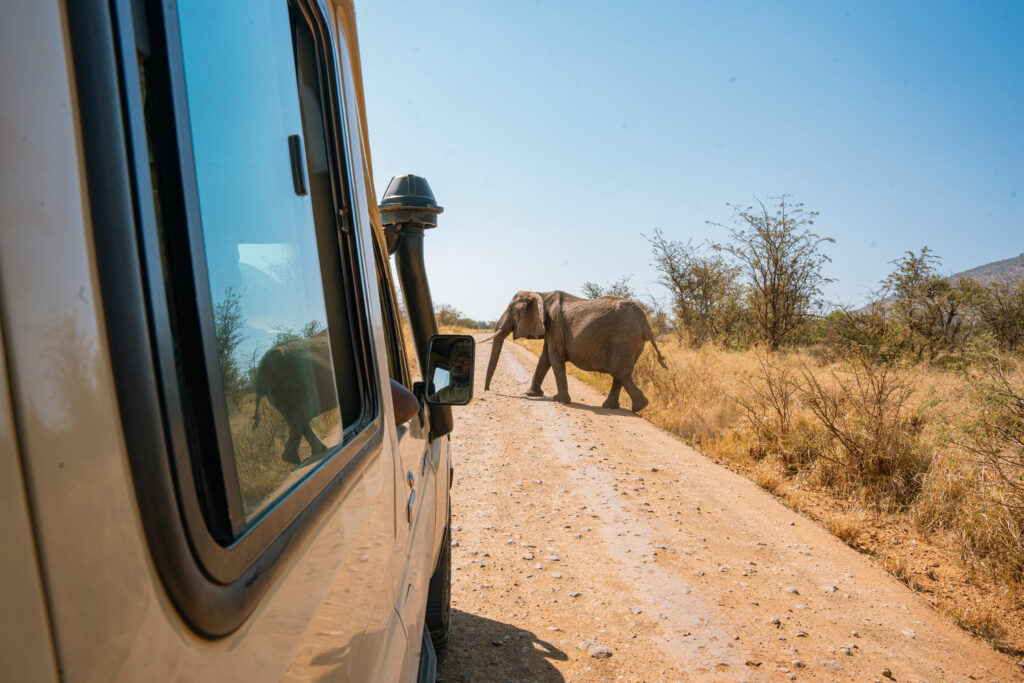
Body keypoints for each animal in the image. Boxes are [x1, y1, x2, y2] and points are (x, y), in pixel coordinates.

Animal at [483, 290, 667, 412]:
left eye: (511, 310)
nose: (487, 391)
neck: (541, 294)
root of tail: (645, 322)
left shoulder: (555, 325)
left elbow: (554, 357)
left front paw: (559, 400)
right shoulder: (551, 328)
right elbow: (545, 358)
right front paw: (531, 394)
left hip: (624, 338)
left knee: (619, 371)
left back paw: (638, 407)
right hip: (632, 341)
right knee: (620, 373)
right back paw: (614, 407)